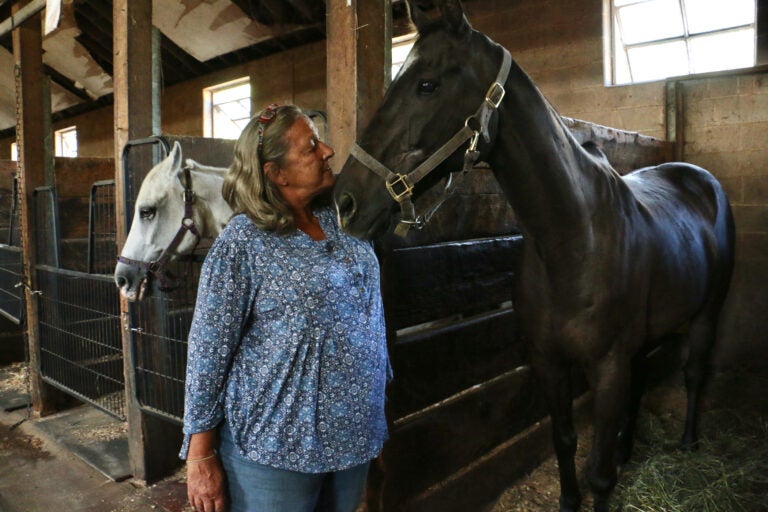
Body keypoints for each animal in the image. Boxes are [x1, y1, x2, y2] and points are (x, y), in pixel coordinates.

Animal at [332, 2, 736, 510]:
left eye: (427, 84)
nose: (344, 202)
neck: (573, 243)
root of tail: (701, 178)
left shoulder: (608, 368)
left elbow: (599, 473)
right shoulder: (548, 361)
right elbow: (563, 439)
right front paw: (569, 498)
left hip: (707, 313)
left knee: (694, 374)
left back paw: (688, 442)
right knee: (643, 381)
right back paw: (629, 449)